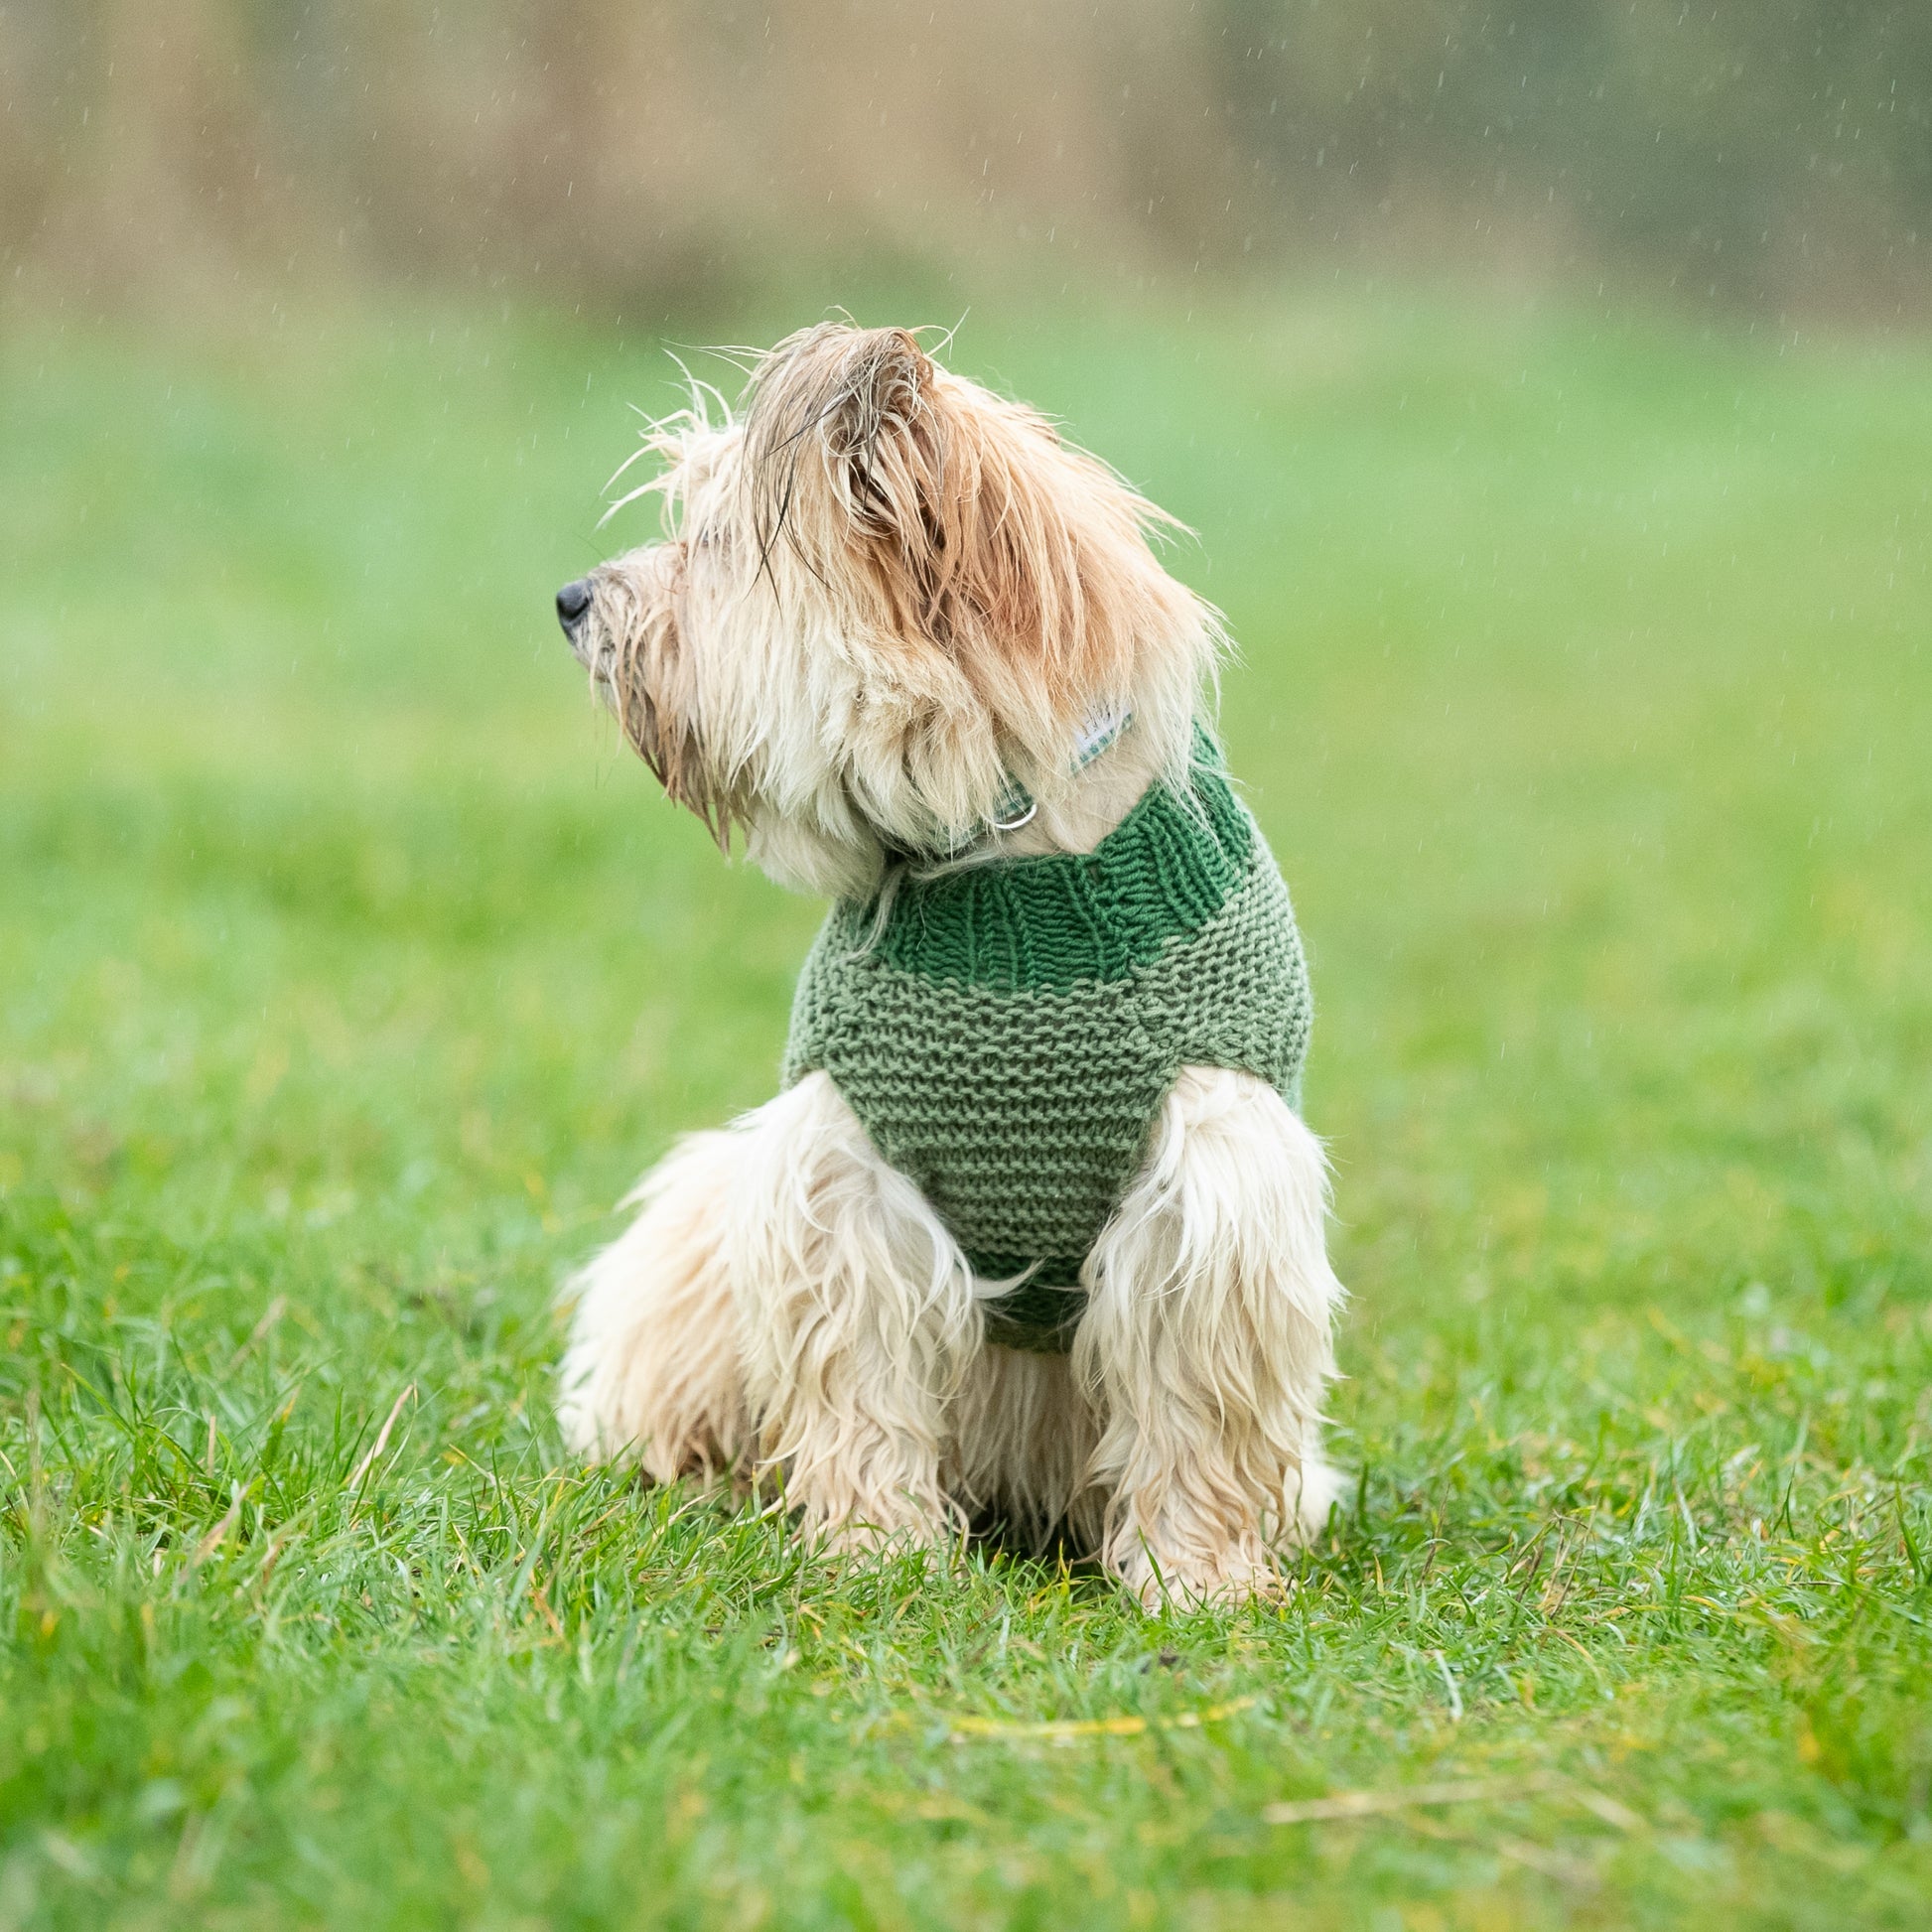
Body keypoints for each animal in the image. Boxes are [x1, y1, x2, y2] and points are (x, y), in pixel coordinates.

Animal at [556, 328, 1344, 1599]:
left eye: (715, 545)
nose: (571, 600)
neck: (1008, 852)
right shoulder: (844, 1176)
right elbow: (858, 1386)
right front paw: (872, 1549)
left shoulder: (1207, 1188)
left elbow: (1193, 1412)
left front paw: (1197, 1576)